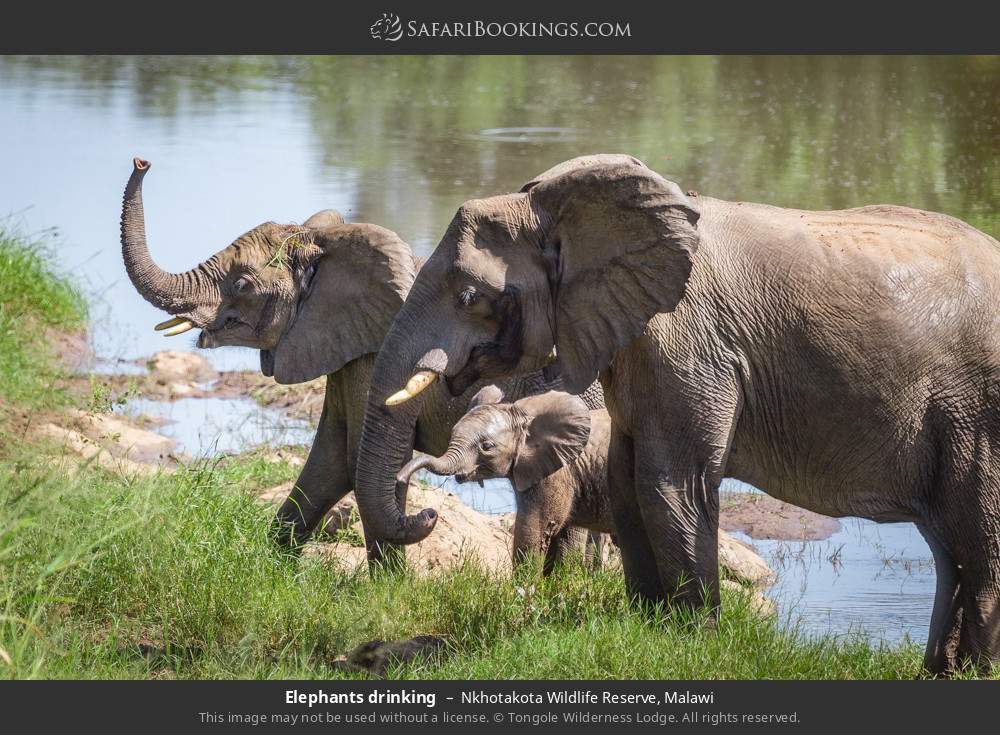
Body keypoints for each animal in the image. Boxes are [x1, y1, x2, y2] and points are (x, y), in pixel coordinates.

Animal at [118, 157, 602, 566]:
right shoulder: (344, 353)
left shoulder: (372, 356)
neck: (326, 246)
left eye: (242, 284)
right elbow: (329, 457)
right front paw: (273, 564)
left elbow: (358, 461)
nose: (141, 161)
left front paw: (388, 589)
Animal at [351, 153, 1000, 675]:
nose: (427, 514)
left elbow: (669, 485)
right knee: (952, 547)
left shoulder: (688, 342)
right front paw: (652, 628)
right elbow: (627, 482)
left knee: (979, 537)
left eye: (468, 296)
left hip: (978, 411)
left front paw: (693, 644)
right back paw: (942, 673)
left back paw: (975, 671)